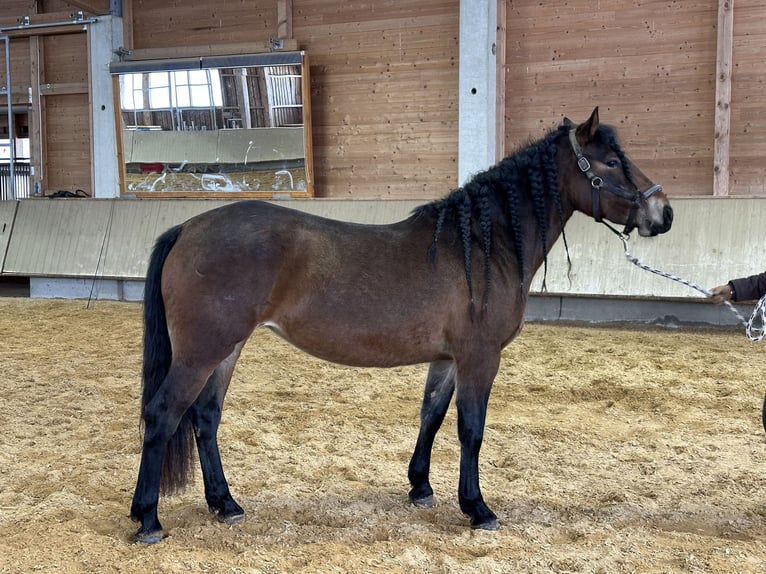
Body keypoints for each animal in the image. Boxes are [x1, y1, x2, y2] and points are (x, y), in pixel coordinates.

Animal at [129, 107, 673, 543]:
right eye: (610, 163)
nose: (663, 212)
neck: (479, 247)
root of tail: (188, 227)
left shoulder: (448, 358)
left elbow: (431, 416)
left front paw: (421, 487)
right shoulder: (480, 357)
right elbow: (471, 428)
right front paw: (477, 508)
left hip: (227, 349)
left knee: (205, 417)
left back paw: (225, 505)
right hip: (202, 350)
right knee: (164, 414)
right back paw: (149, 519)